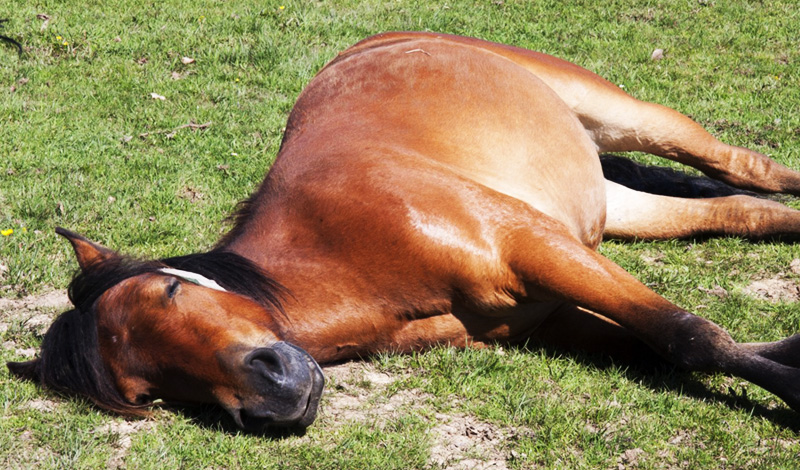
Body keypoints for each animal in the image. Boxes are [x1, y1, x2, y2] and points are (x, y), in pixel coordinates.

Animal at [6, 31, 800, 432]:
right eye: (150, 393)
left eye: (169, 293)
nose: (272, 393)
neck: (349, 254)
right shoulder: (549, 313)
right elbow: (672, 343)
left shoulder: (537, 247)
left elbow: (687, 335)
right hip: (610, 203)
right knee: (742, 207)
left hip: (624, 117)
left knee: (743, 166)